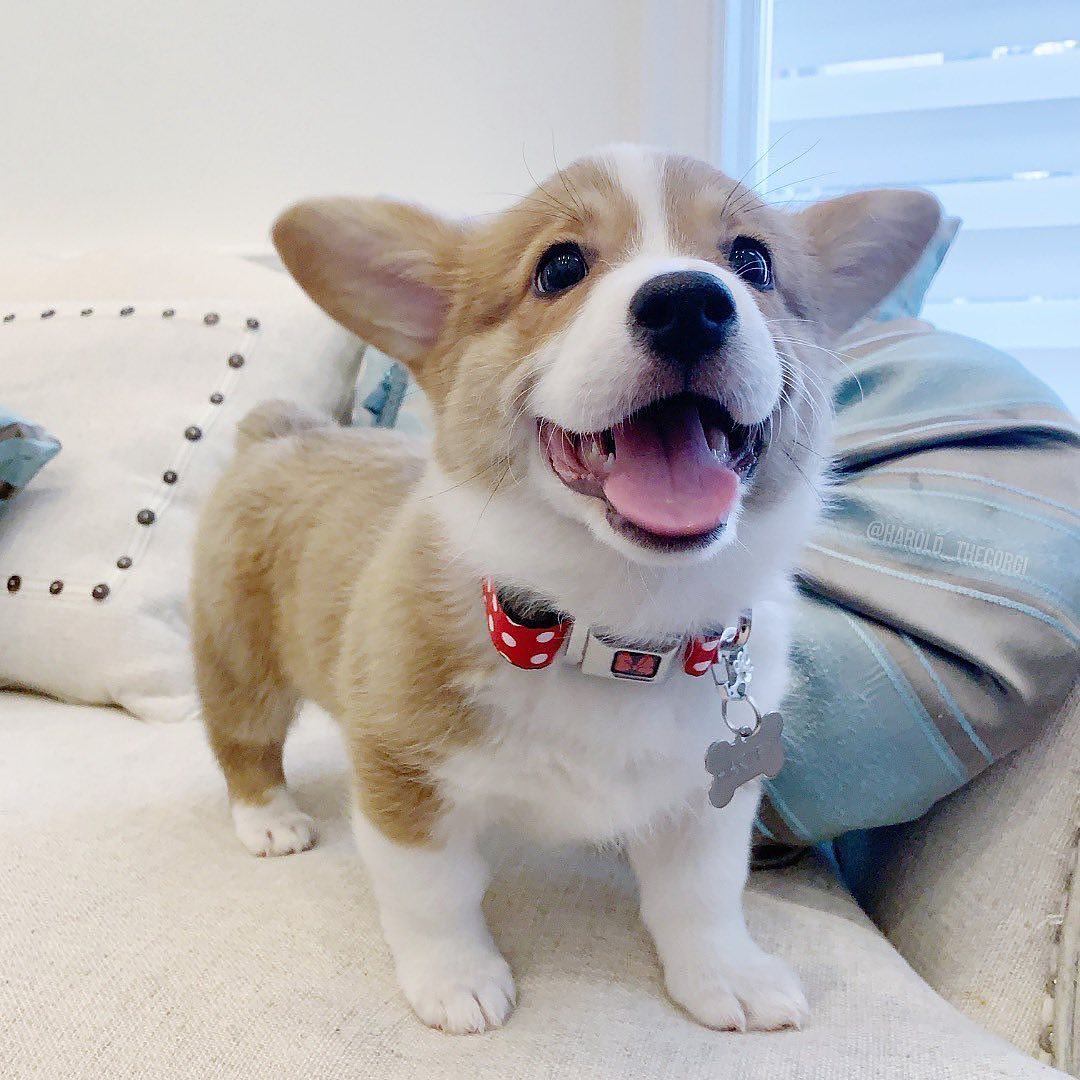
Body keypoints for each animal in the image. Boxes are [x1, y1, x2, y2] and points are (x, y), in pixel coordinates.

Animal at [190, 147, 941, 1032]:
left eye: (752, 261)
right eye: (559, 267)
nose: (688, 303)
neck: (610, 628)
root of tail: (283, 431)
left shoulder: (703, 801)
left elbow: (703, 898)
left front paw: (725, 975)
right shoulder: (402, 773)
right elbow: (431, 893)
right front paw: (456, 978)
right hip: (240, 661)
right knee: (243, 742)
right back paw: (269, 818)